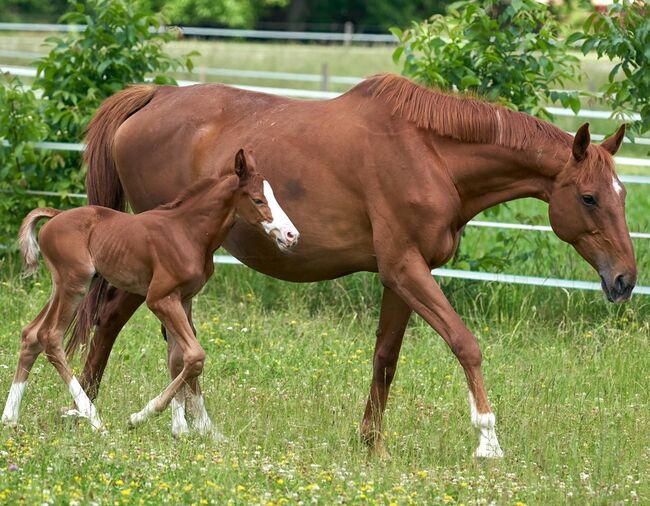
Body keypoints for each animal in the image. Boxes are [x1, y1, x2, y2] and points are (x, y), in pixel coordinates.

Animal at [0, 149, 298, 430]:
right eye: (258, 200)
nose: (292, 236)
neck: (189, 233)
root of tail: (55, 216)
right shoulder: (160, 299)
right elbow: (195, 355)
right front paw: (141, 416)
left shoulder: (183, 298)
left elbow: (178, 359)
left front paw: (185, 430)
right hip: (75, 283)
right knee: (50, 336)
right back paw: (91, 415)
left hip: (64, 285)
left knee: (31, 334)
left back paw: (10, 418)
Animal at [71, 75, 632, 458]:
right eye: (588, 197)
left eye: (622, 195)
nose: (625, 279)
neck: (429, 155)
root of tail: (156, 95)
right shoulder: (406, 271)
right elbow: (465, 344)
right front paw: (488, 442)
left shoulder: (404, 277)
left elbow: (386, 359)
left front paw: (372, 445)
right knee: (115, 319)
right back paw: (92, 408)